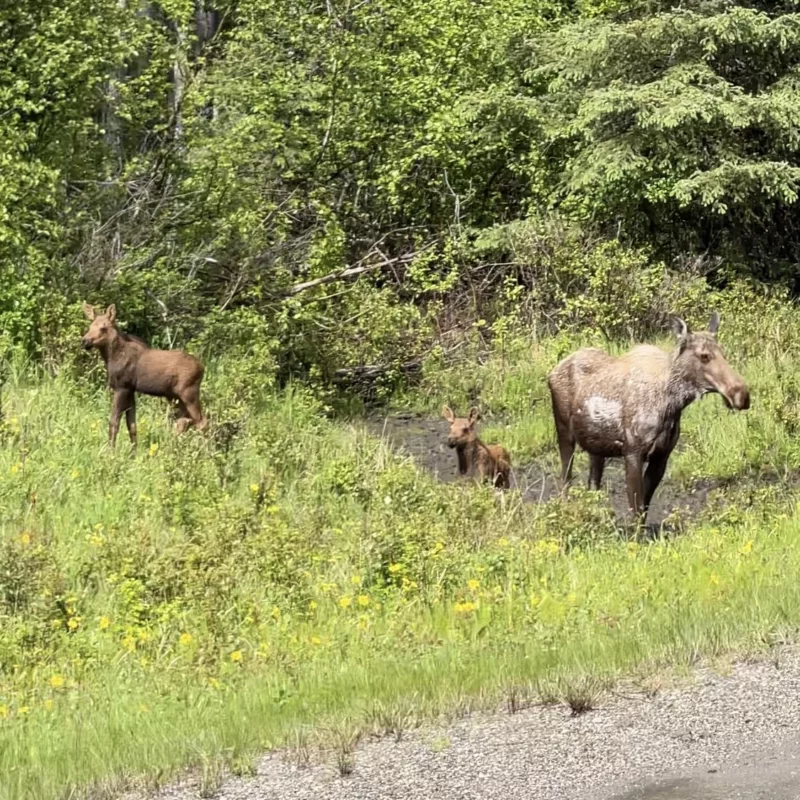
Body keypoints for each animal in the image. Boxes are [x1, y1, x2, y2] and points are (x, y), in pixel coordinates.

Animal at [79, 304, 206, 446]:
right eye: (90, 326)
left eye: (103, 328)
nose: (85, 341)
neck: (112, 357)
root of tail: (202, 368)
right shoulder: (130, 389)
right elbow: (132, 425)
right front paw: (133, 451)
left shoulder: (122, 387)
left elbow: (114, 423)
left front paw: (110, 450)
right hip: (174, 396)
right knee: (183, 421)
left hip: (189, 393)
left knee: (202, 422)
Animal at [552, 312, 752, 524]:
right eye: (704, 355)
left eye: (723, 352)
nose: (741, 395)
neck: (672, 406)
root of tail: (553, 371)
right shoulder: (632, 452)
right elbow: (636, 509)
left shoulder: (662, 456)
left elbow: (644, 509)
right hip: (564, 431)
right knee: (565, 478)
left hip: (596, 446)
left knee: (593, 484)